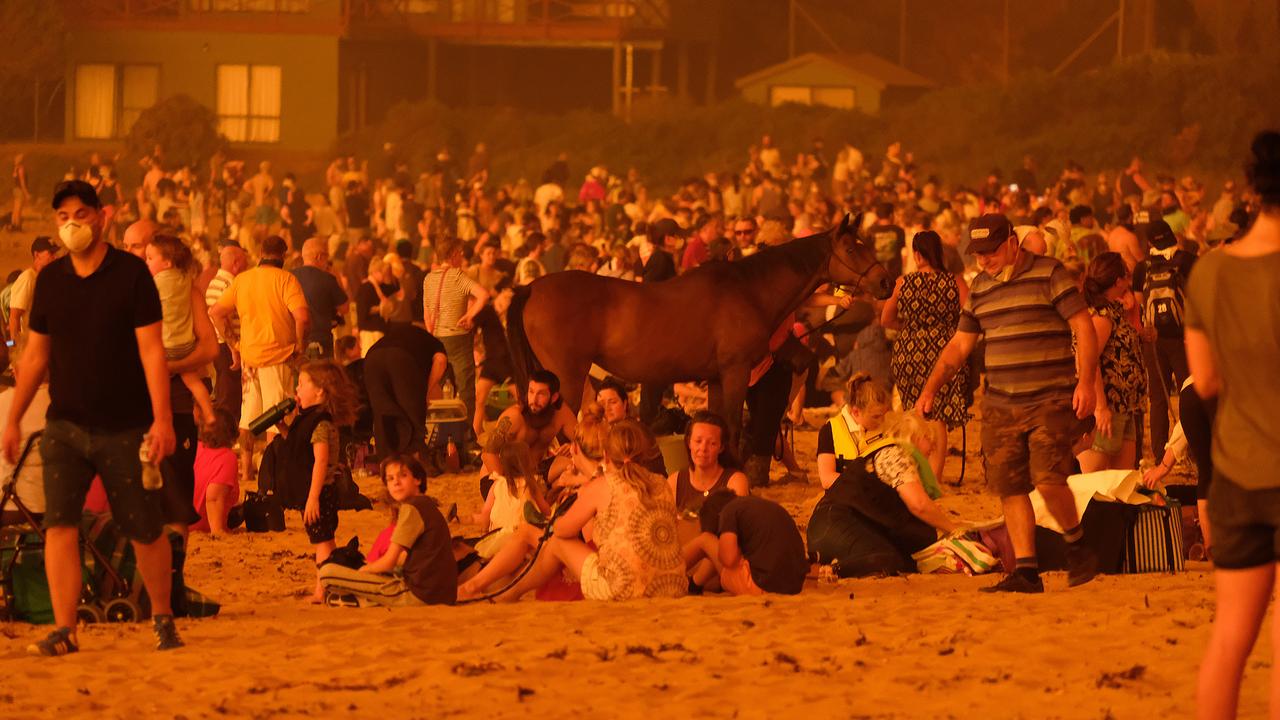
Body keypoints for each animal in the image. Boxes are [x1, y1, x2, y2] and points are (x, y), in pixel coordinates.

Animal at [501, 212, 890, 435]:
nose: (885, 282)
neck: (748, 289)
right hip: (566, 377)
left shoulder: (716, 378)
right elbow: (731, 426)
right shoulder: (735, 372)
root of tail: (532, 288)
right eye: (852, 249)